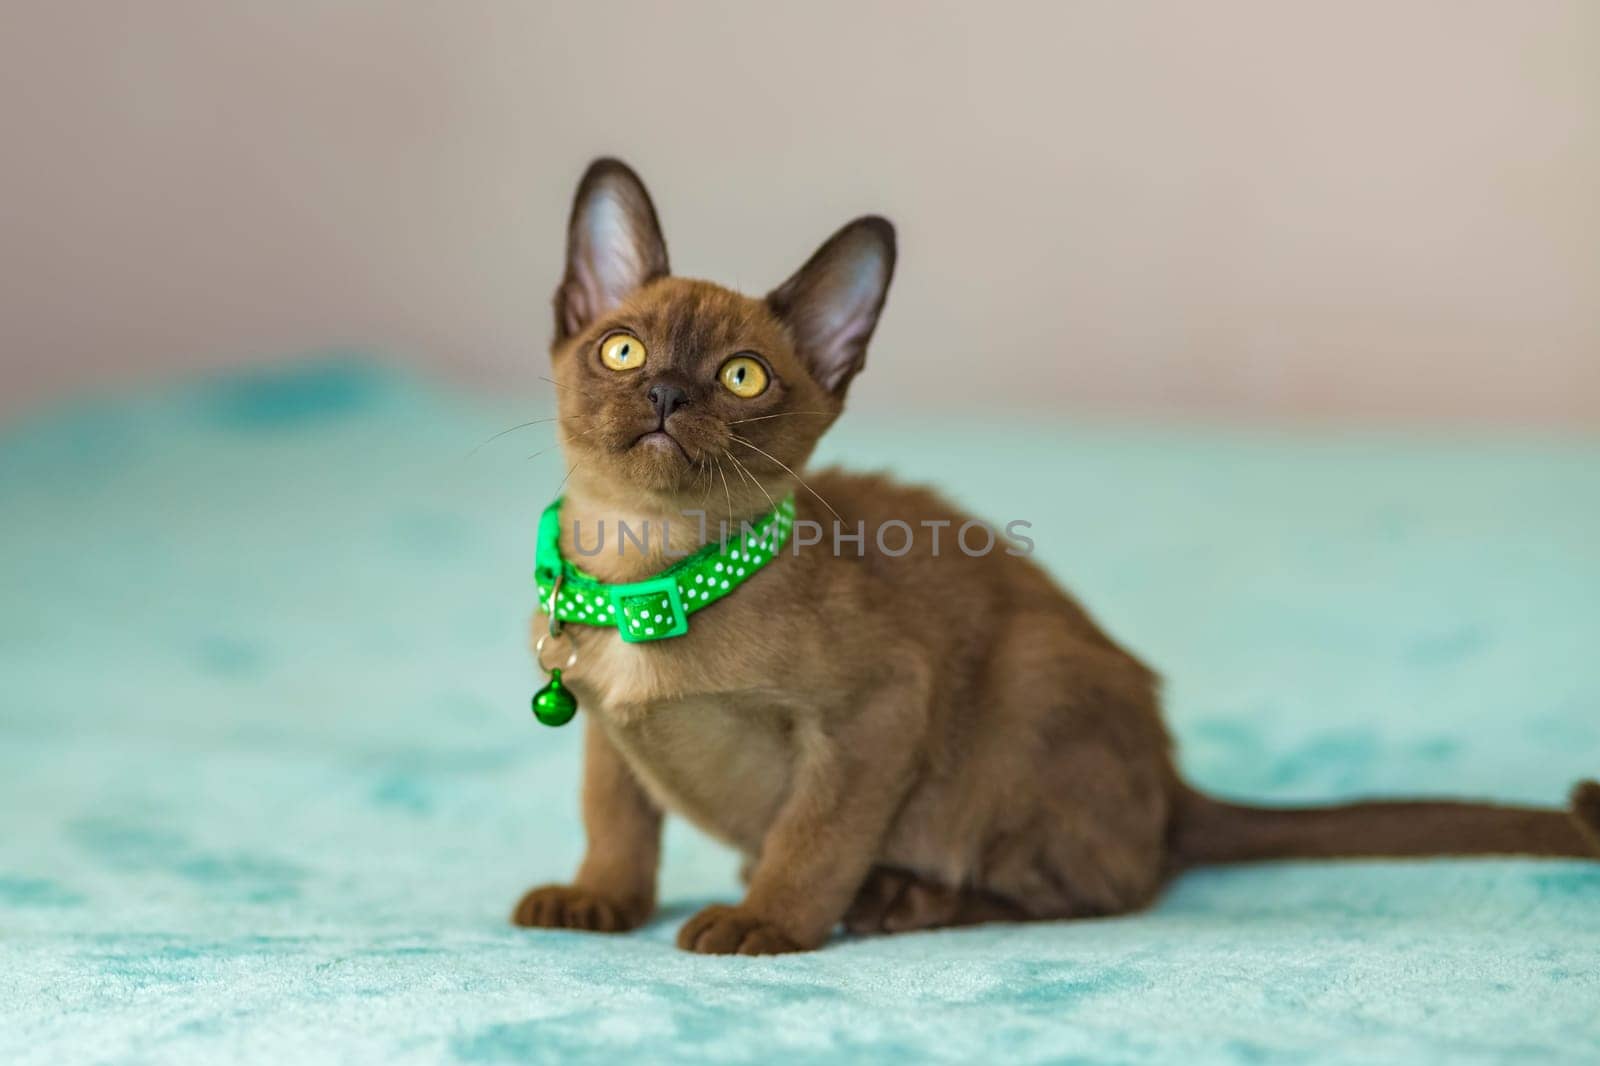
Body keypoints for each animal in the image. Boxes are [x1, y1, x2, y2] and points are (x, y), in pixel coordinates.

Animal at [515, 160, 1600, 953]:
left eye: (742, 378)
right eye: (622, 350)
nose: (666, 393)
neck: (645, 571)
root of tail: (1173, 785)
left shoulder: (879, 710)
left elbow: (814, 838)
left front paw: (768, 923)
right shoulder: (606, 727)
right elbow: (616, 823)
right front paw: (597, 902)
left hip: (1028, 686)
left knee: (1102, 887)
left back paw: (894, 898)